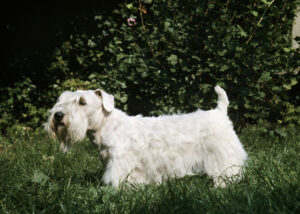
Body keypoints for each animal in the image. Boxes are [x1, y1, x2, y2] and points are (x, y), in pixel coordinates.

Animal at [44, 86, 246, 186]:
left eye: (82, 102)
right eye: (61, 100)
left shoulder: (120, 164)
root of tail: (220, 112)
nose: (58, 116)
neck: (107, 125)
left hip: (223, 156)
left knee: (228, 171)